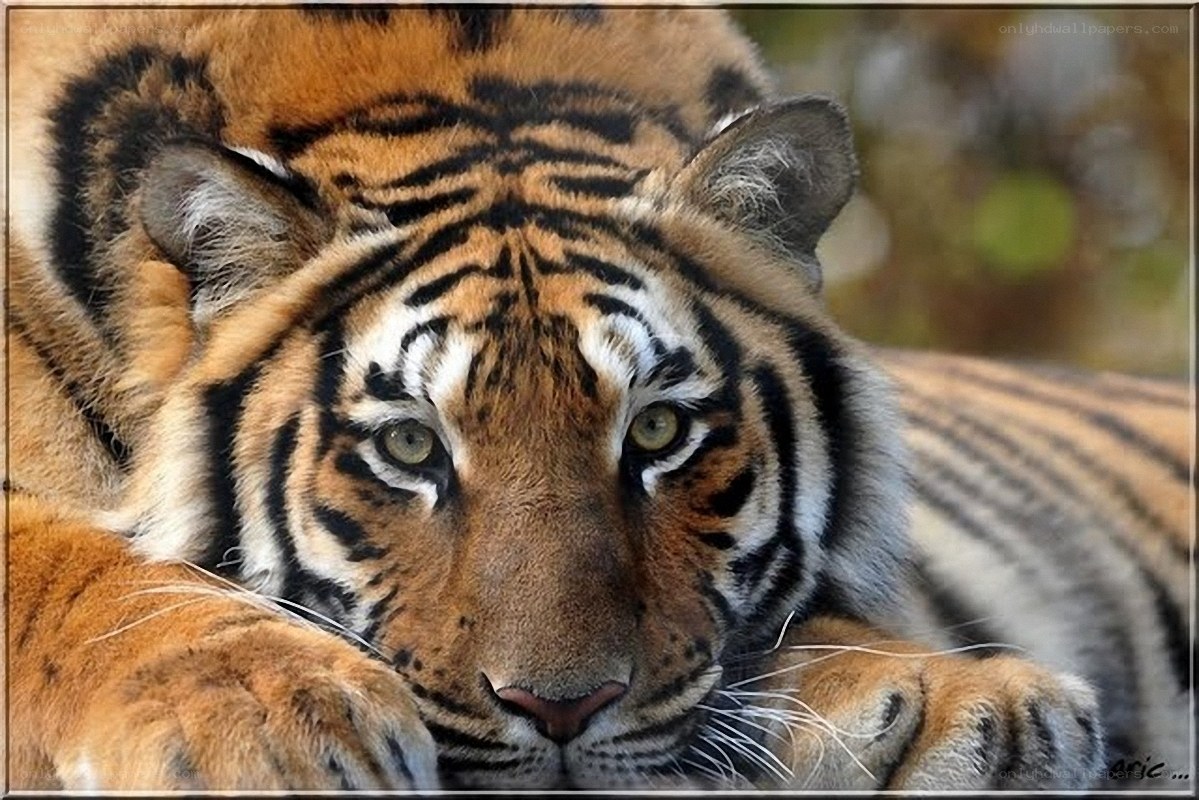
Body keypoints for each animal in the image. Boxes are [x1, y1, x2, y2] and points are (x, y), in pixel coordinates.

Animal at [5, 7, 1192, 792]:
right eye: (409, 447)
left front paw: (964, 711)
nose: (559, 708)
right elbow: (74, 568)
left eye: (657, 430)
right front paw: (264, 714)